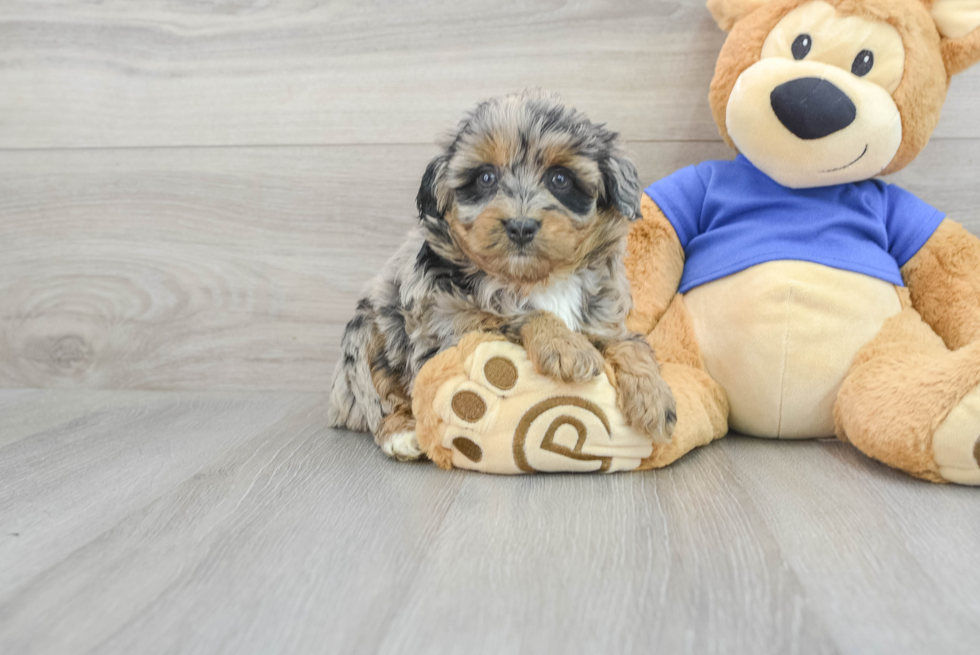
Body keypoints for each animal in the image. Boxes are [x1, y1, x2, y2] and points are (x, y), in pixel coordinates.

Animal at [328, 91, 672, 462]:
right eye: (485, 178)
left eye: (560, 179)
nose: (521, 226)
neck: (535, 279)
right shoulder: (445, 326)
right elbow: (511, 316)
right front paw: (565, 345)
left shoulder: (603, 316)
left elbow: (630, 342)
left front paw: (654, 396)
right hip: (364, 337)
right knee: (376, 392)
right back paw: (402, 434)